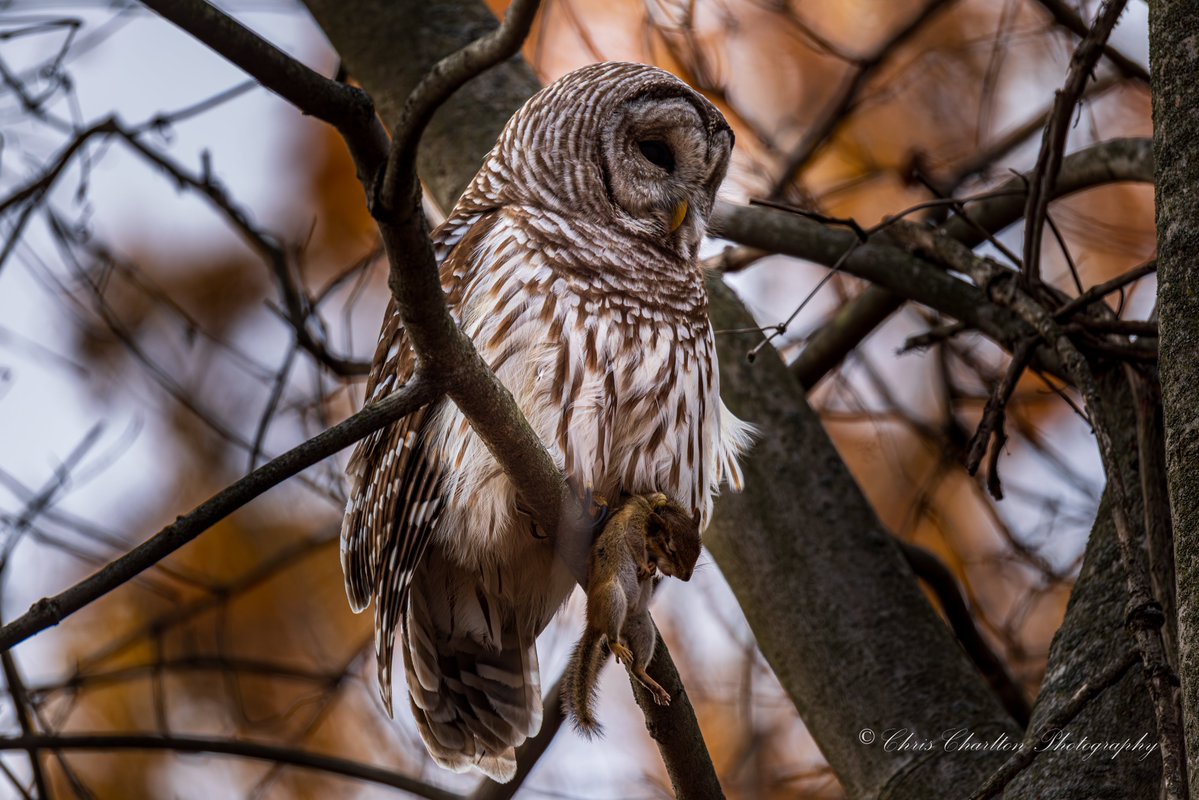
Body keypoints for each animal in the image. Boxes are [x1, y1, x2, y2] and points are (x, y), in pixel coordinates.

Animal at [562, 492, 702, 736]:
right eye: (671, 548)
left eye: (699, 548)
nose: (686, 577)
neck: (654, 509)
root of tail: (593, 620)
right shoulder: (635, 522)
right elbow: (634, 543)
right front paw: (646, 567)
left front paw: (652, 569)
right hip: (613, 597)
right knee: (610, 637)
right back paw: (616, 646)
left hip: (644, 628)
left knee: (637, 668)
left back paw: (650, 681)